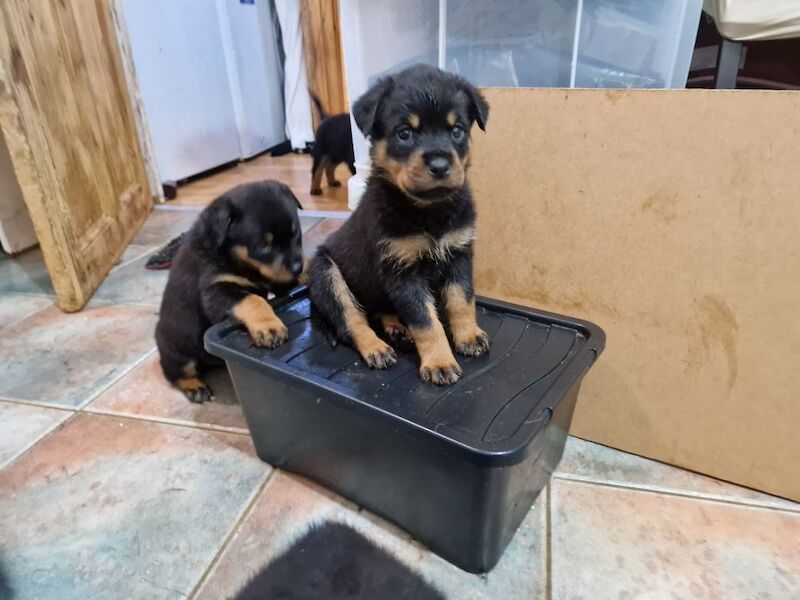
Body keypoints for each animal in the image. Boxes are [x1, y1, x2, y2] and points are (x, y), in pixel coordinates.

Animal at [155, 179, 304, 404]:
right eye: (263, 246)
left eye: (296, 233)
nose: (297, 267)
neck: (233, 255)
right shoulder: (216, 289)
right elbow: (253, 300)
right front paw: (269, 328)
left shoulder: (274, 277)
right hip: (178, 351)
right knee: (175, 372)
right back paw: (194, 387)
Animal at [310, 64, 490, 384]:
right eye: (404, 133)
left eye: (456, 130)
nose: (440, 166)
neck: (429, 212)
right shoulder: (402, 272)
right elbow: (426, 321)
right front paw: (440, 362)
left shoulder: (459, 253)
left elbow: (462, 300)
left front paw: (469, 336)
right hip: (326, 273)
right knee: (352, 320)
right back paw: (376, 348)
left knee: (377, 311)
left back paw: (396, 327)